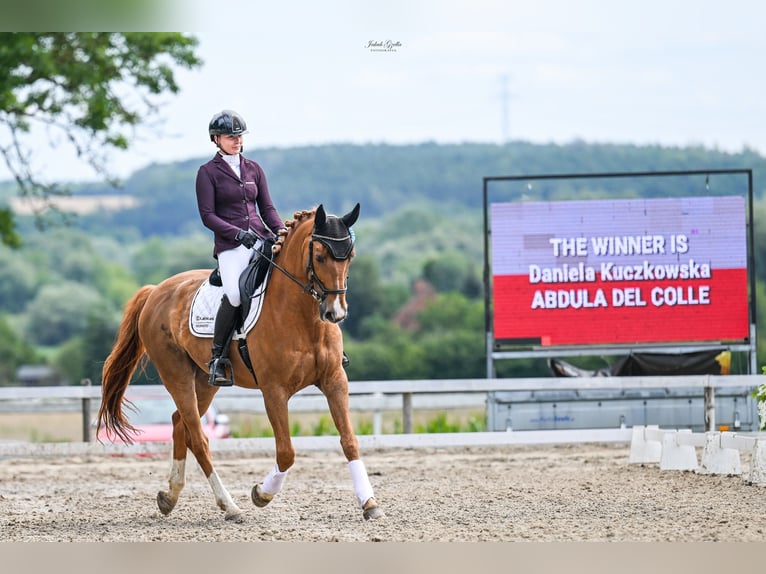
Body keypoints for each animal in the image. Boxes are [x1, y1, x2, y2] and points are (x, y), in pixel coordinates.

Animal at [96, 205, 384, 524]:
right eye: (320, 257)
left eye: (350, 256)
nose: (335, 313)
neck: (303, 317)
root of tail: (156, 290)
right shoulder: (274, 390)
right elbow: (286, 452)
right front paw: (261, 493)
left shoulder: (334, 381)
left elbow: (349, 441)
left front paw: (369, 504)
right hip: (175, 374)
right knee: (199, 438)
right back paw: (229, 506)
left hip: (204, 381)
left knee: (179, 424)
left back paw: (170, 497)